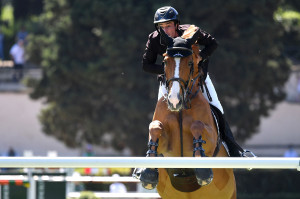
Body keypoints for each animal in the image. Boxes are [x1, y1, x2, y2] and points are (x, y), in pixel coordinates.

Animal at [137, 25, 237, 198]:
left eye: (190, 63)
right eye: (165, 62)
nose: (174, 101)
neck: (181, 110)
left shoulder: (211, 138)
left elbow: (197, 125)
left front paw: (202, 169)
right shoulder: (165, 147)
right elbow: (155, 127)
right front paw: (148, 173)